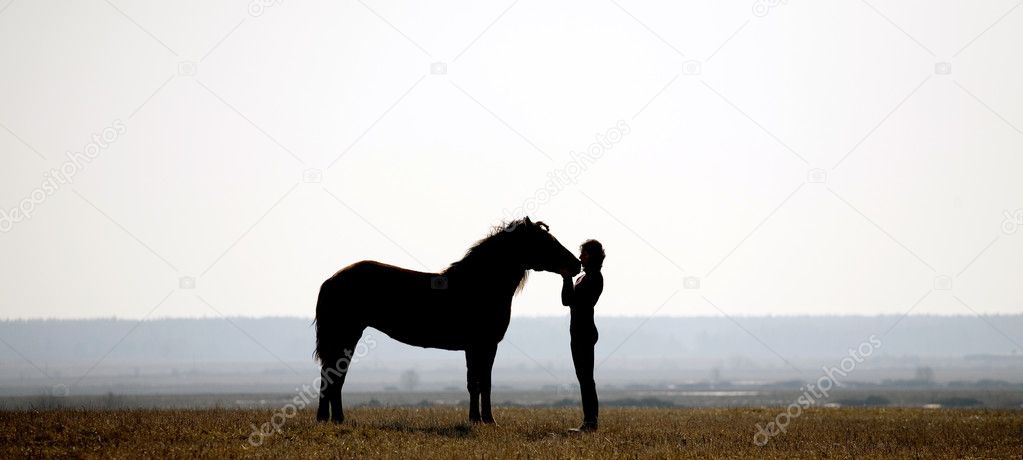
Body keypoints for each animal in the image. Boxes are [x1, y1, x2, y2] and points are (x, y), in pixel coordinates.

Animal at [310, 217, 585, 423]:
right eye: (546, 241)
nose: (576, 264)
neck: (480, 284)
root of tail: (331, 279)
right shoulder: (484, 346)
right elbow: (483, 382)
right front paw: (486, 420)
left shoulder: (475, 348)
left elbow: (475, 382)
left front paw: (477, 419)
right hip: (346, 335)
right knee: (333, 374)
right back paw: (332, 418)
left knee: (333, 375)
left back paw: (333, 419)